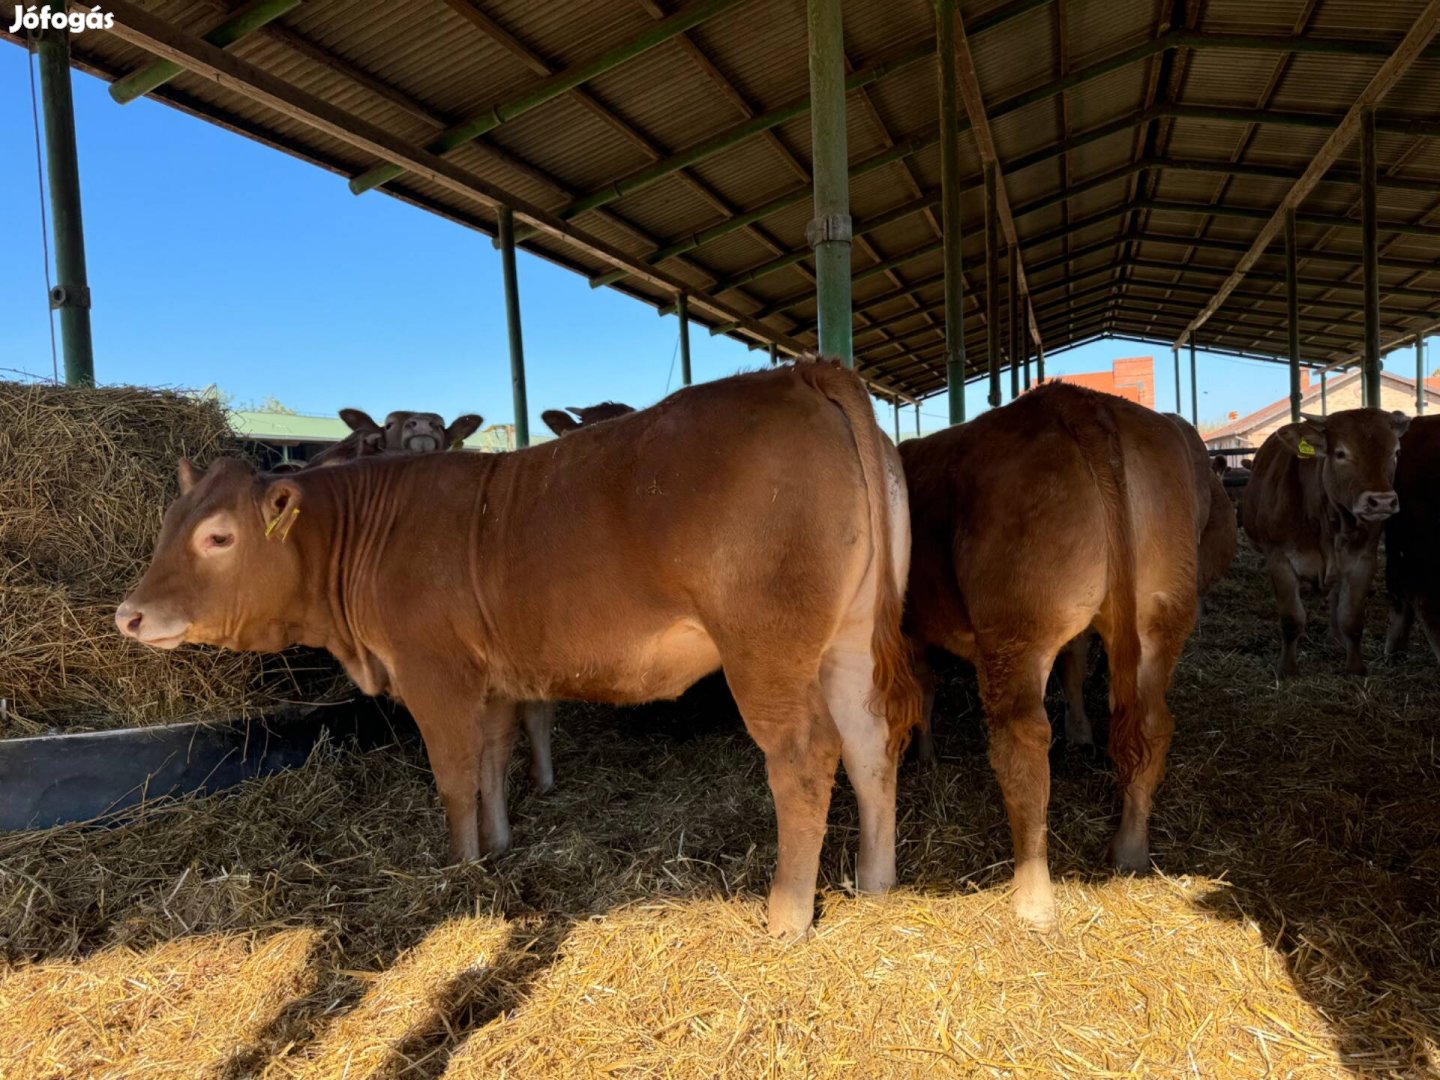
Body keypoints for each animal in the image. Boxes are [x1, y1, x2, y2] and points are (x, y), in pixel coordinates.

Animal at [118, 364, 915, 938]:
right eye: (166, 524)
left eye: (218, 535)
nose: (130, 614)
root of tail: (801, 372)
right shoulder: (494, 678)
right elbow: (494, 761)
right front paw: (499, 843)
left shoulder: (433, 674)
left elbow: (453, 775)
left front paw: (463, 868)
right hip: (847, 640)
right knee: (871, 741)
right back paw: (876, 881)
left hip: (766, 647)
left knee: (805, 755)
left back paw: (787, 912)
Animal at [904, 383, 1198, 933]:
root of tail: (1076, 401)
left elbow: (922, 689)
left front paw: (924, 755)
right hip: (1160, 612)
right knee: (1152, 727)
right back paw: (1130, 851)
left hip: (1015, 629)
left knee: (1022, 742)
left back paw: (1033, 898)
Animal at [1238, 408, 1405, 676]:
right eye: (1341, 453)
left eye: (1396, 452)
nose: (1381, 501)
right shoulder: (1279, 560)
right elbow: (1291, 619)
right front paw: (1287, 670)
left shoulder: (1363, 561)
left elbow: (1352, 618)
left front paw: (1356, 668)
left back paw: (1335, 637)